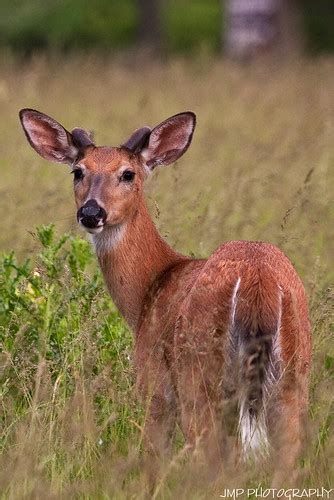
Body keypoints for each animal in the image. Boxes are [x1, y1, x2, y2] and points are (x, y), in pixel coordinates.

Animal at [18, 109, 310, 488]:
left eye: (127, 173)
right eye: (78, 171)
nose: (92, 212)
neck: (149, 288)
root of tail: (258, 281)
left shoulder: (153, 386)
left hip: (198, 379)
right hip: (292, 379)